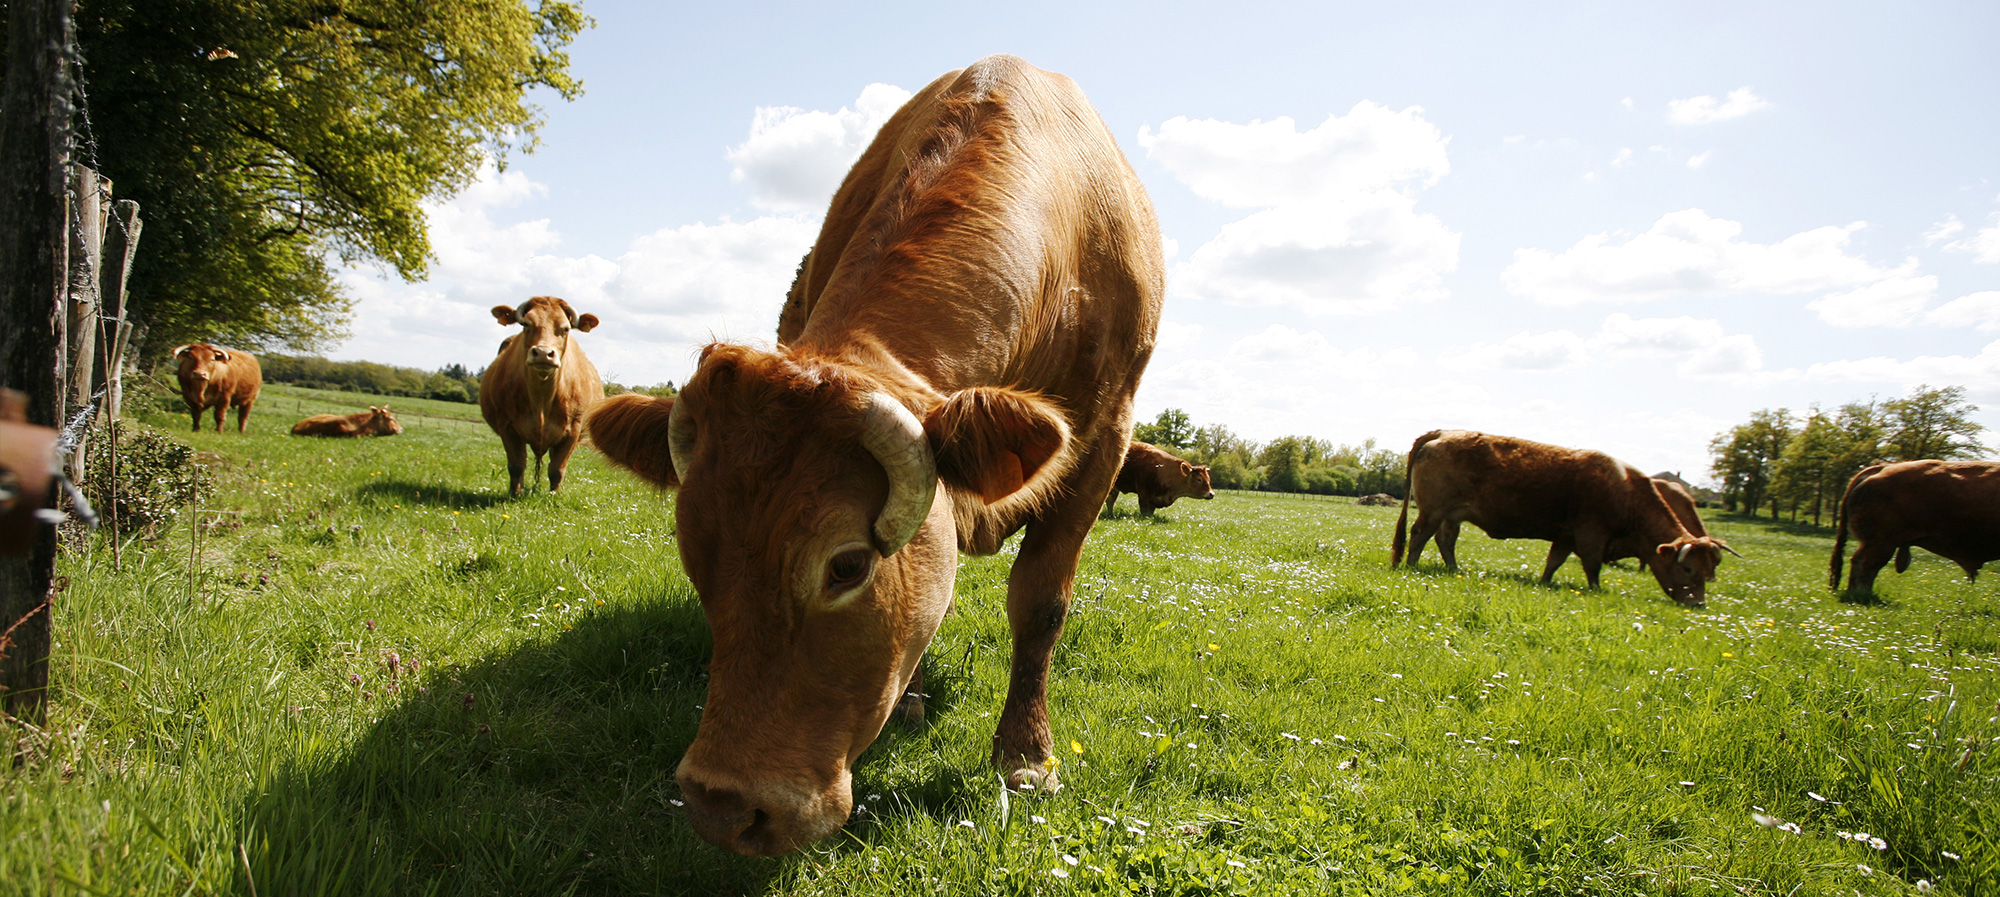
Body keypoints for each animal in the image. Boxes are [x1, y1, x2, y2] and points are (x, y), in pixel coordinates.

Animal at [478, 294, 600, 494]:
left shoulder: (573, 430)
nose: (543, 353)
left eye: (565, 328)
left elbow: (557, 469)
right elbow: (516, 466)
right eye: (526, 324)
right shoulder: (507, 427)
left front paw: (553, 495)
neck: (542, 399)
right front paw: (514, 494)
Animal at [584, 54, 1168, 856]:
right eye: (694, 554)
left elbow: (1041, 601)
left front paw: (1025, 756)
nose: (721, 806)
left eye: (848, 565)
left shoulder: (1105, 440)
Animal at [1392, 430, 1736, 604]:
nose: (1698, 603)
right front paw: (1596, 591)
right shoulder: (1591, 533)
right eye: (1688, 568)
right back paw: (1412, 565)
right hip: (1435, 509)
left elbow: (1553, 562)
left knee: (1445, 540)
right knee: (1420, 534)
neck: (1625, 489)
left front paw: (1544, 583)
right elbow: (1593, 567)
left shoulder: (1566, 536)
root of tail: (1444, 432)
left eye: (1711, 571)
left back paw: (1454, 569)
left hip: (1453, 514)